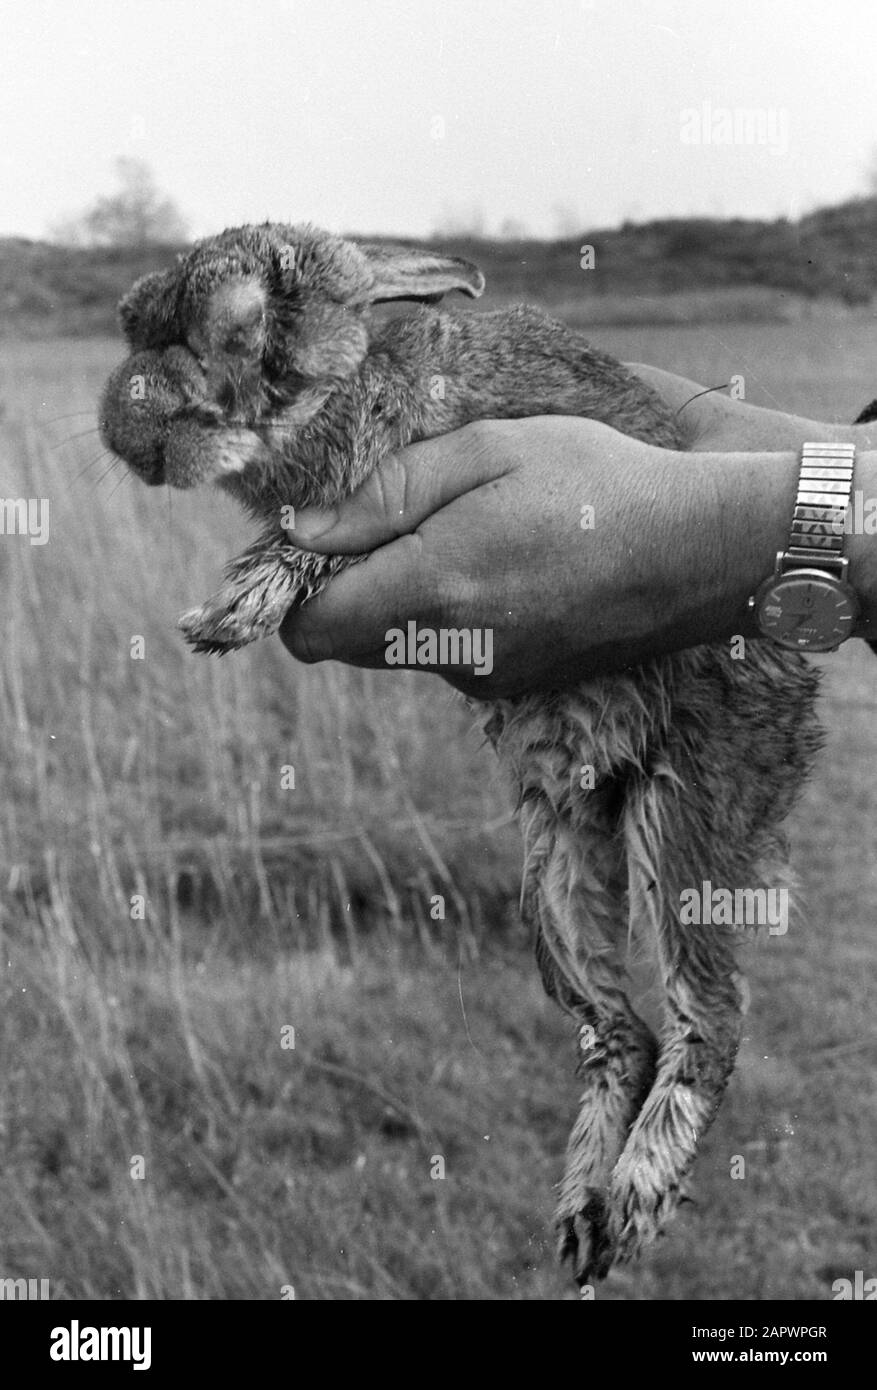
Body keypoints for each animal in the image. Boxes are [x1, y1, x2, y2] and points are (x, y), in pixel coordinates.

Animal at [99, 222, 824, 1287]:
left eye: (241, 325)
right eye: (131, 322)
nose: (130, 432)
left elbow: (327, 548)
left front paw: (231, 609)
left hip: (687, 813)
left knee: (712, 1016)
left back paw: (636, 1197)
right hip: (554, 869)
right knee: (620, 1030)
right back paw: (581, 1217)